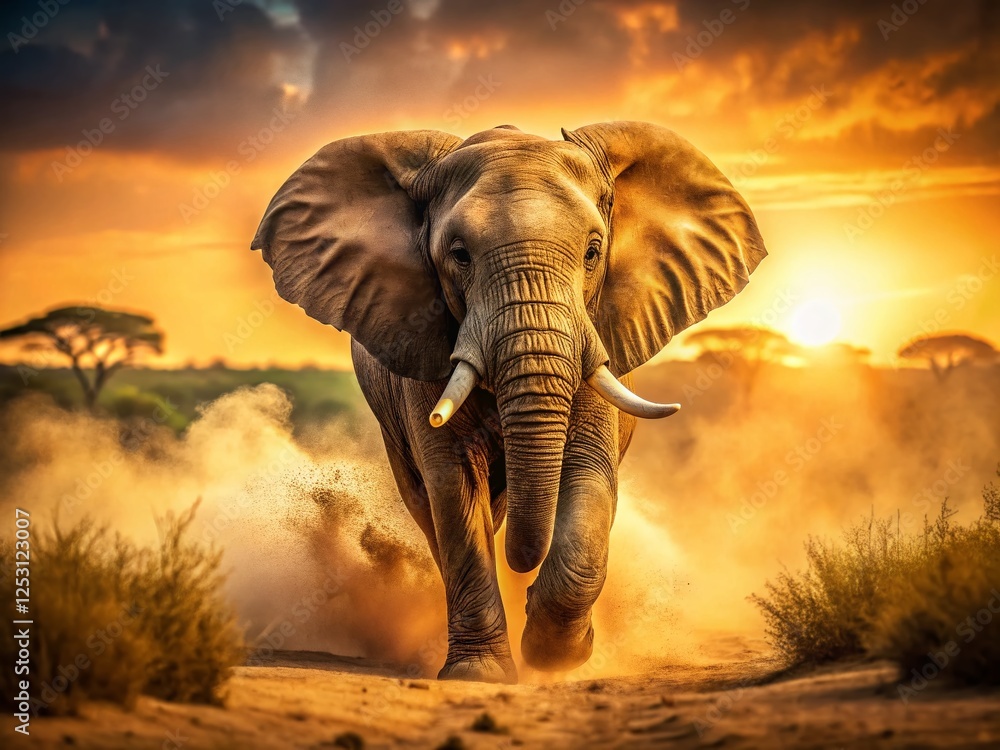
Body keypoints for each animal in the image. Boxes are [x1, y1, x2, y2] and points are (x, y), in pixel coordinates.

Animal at [251, 122, 766, 683]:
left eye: (593, 251)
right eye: (459, 254)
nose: (525, 570)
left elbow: (587, 473)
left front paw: (557, 654)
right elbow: (454, 489)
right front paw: (478, 674)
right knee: (433, 510)